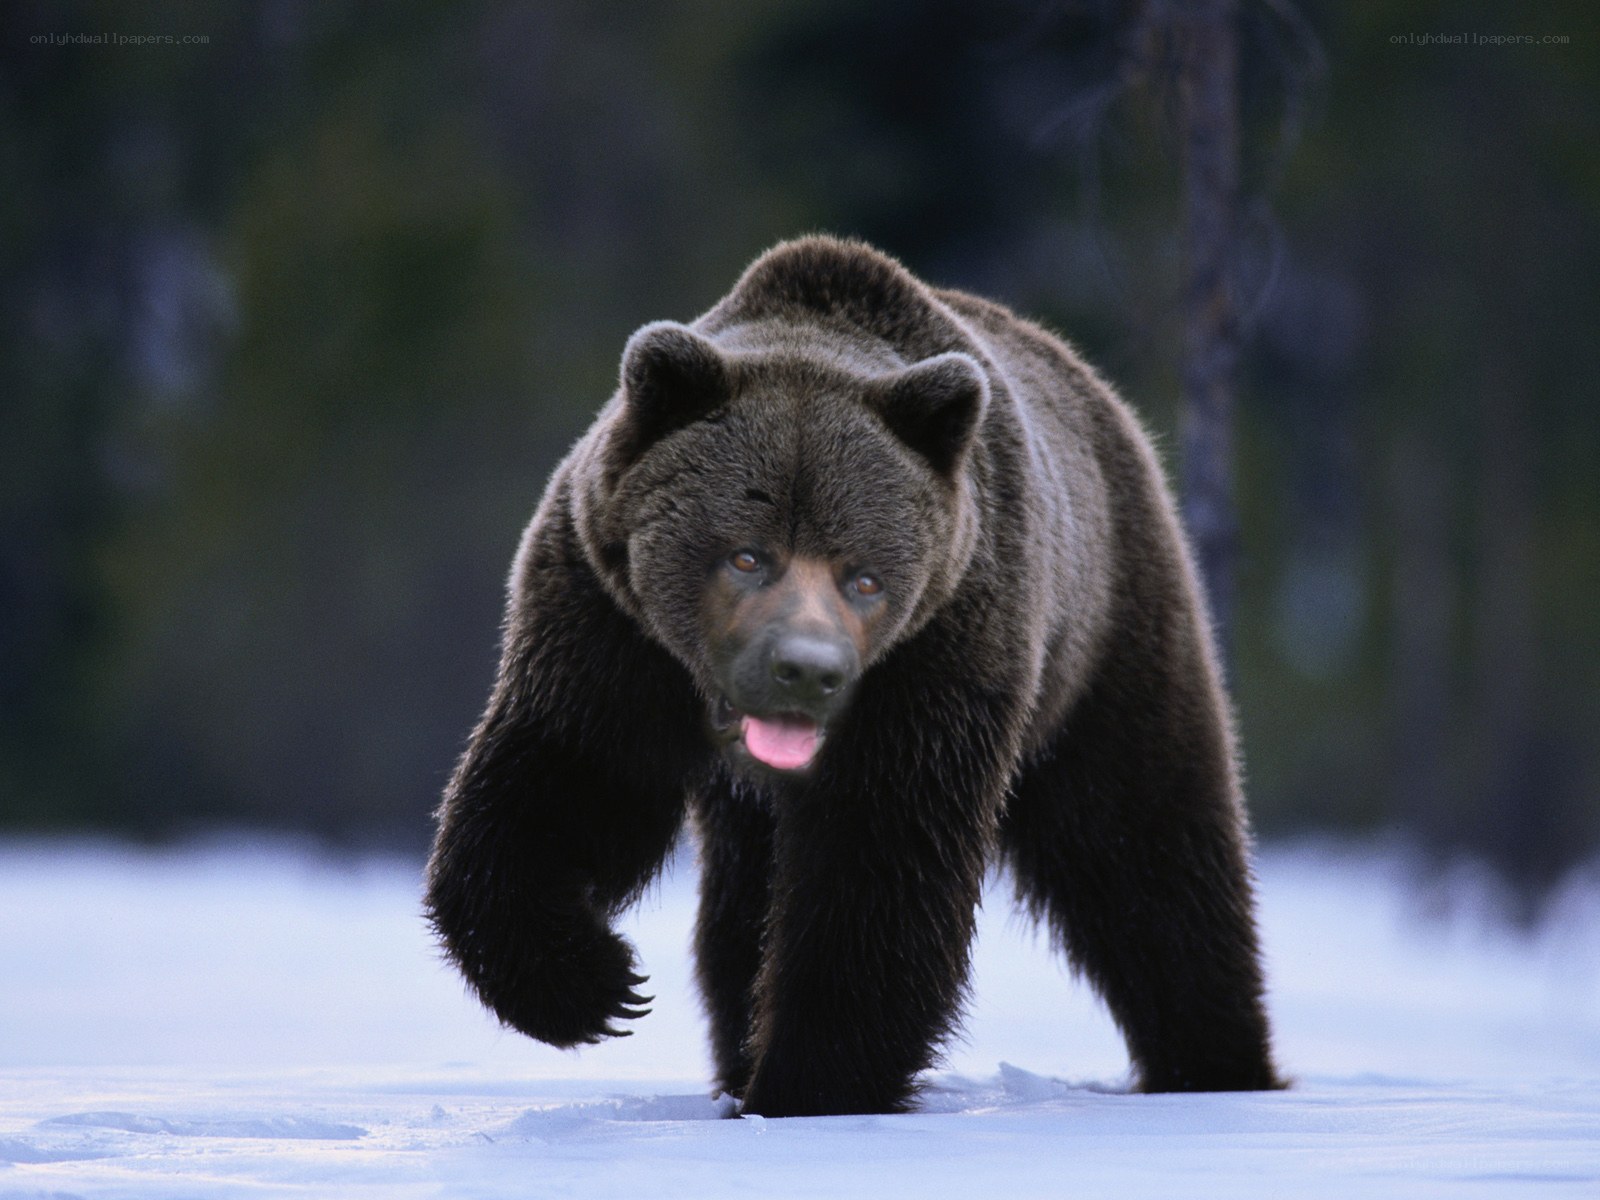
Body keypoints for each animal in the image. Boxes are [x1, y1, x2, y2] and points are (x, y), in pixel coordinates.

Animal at [424, 235, 1282, 1117]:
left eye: (863, 575)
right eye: (747, 554)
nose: (807, 671)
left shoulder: (938, 653)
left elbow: (879, 862)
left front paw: (808, 1083)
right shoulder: (609, 627)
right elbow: (567, 780)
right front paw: (594, 986)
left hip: (1107, 637)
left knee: (1145, 848)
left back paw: (1214, 1062)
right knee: (741, 906)